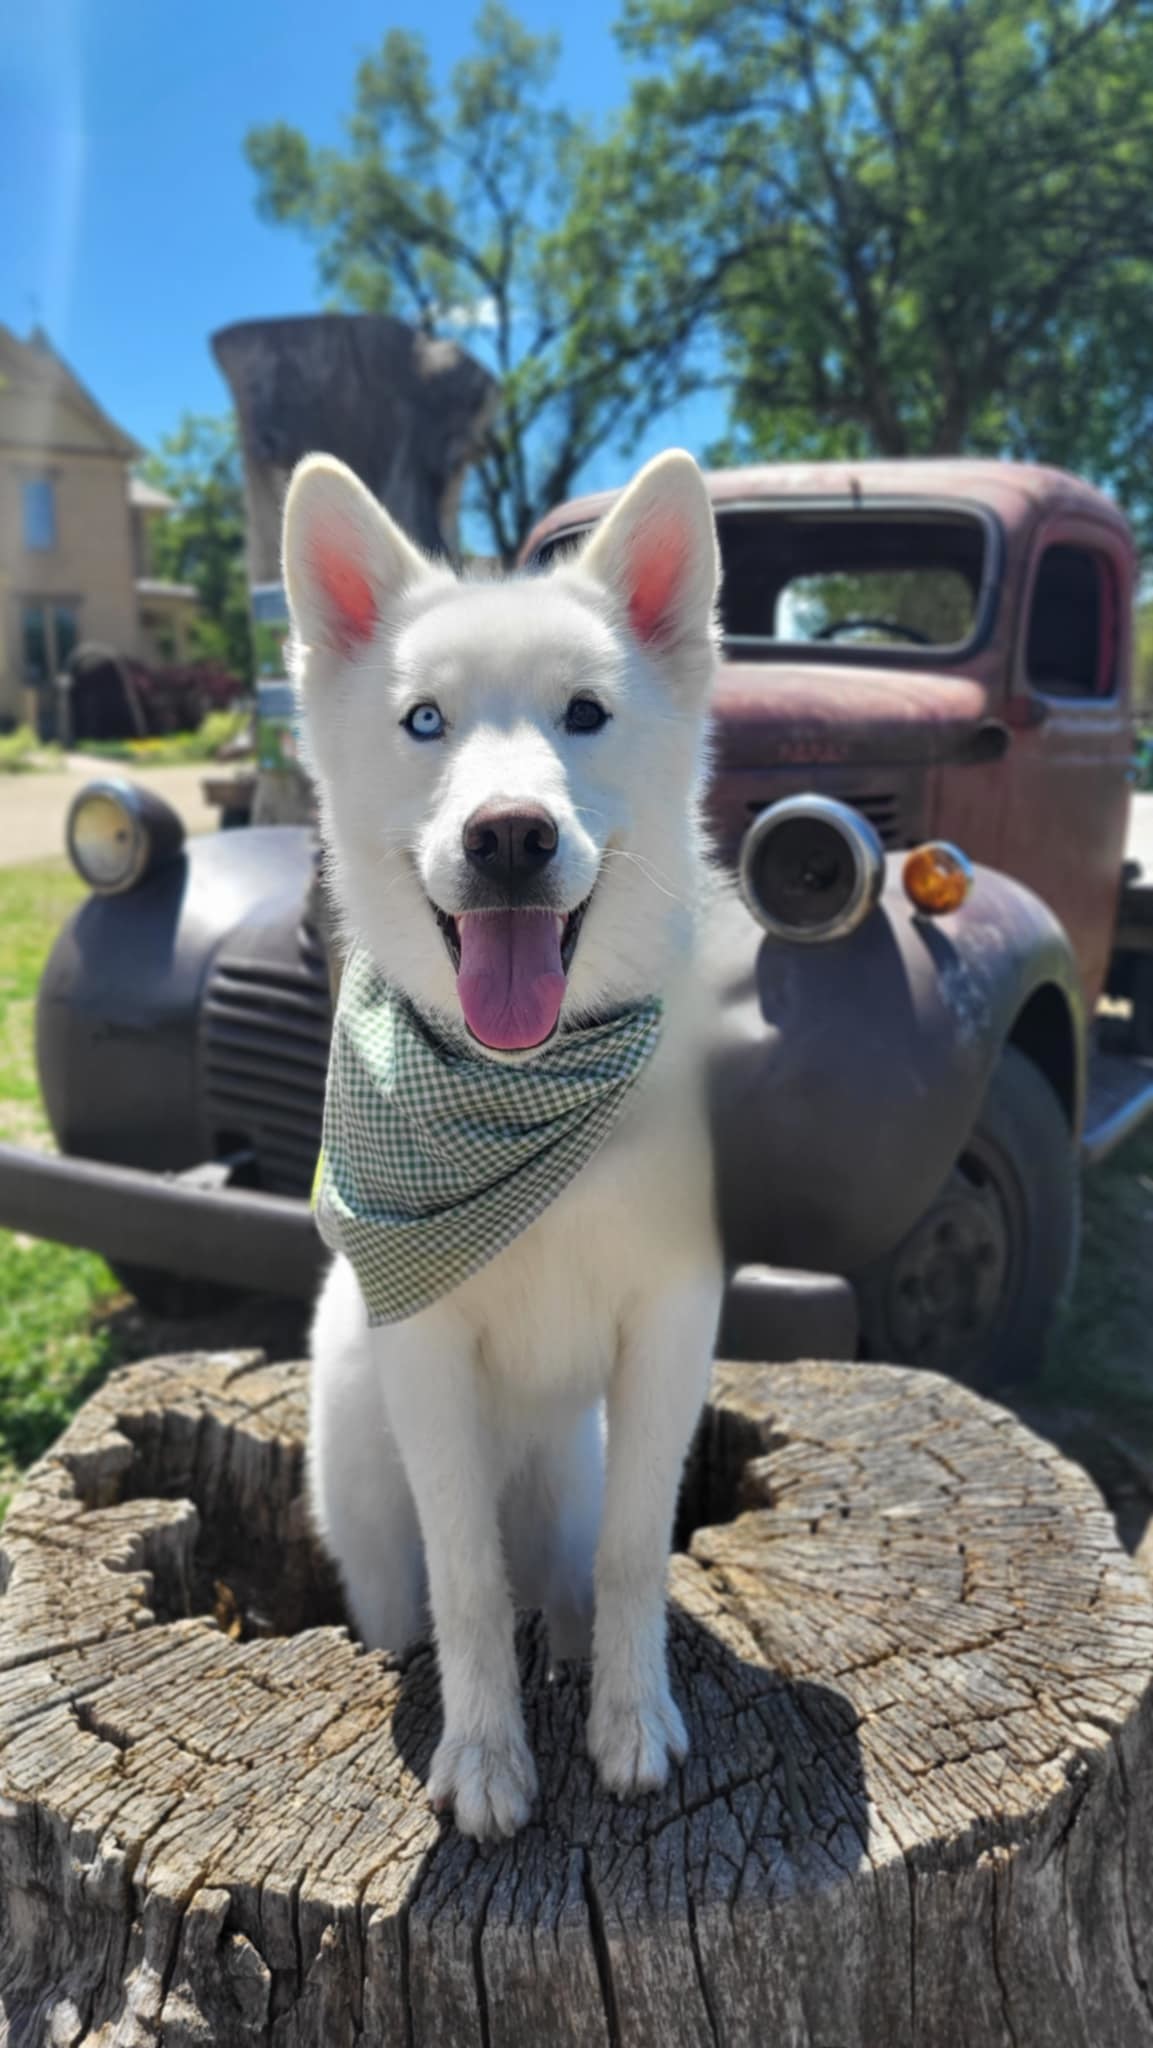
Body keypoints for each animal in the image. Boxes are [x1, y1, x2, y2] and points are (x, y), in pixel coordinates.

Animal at [282, 452, 720, 1843]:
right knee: (417, 1596)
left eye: (585, 713)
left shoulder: (671, 1323)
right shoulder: (429, 1360)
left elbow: (635, 1555)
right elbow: (465, 1583)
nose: (511, 833)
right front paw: (483, 1754)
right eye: (425, 721)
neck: (519, 1092)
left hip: (570, 1483)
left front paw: (632, 1721)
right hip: (365, 1505)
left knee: (574, 1581)